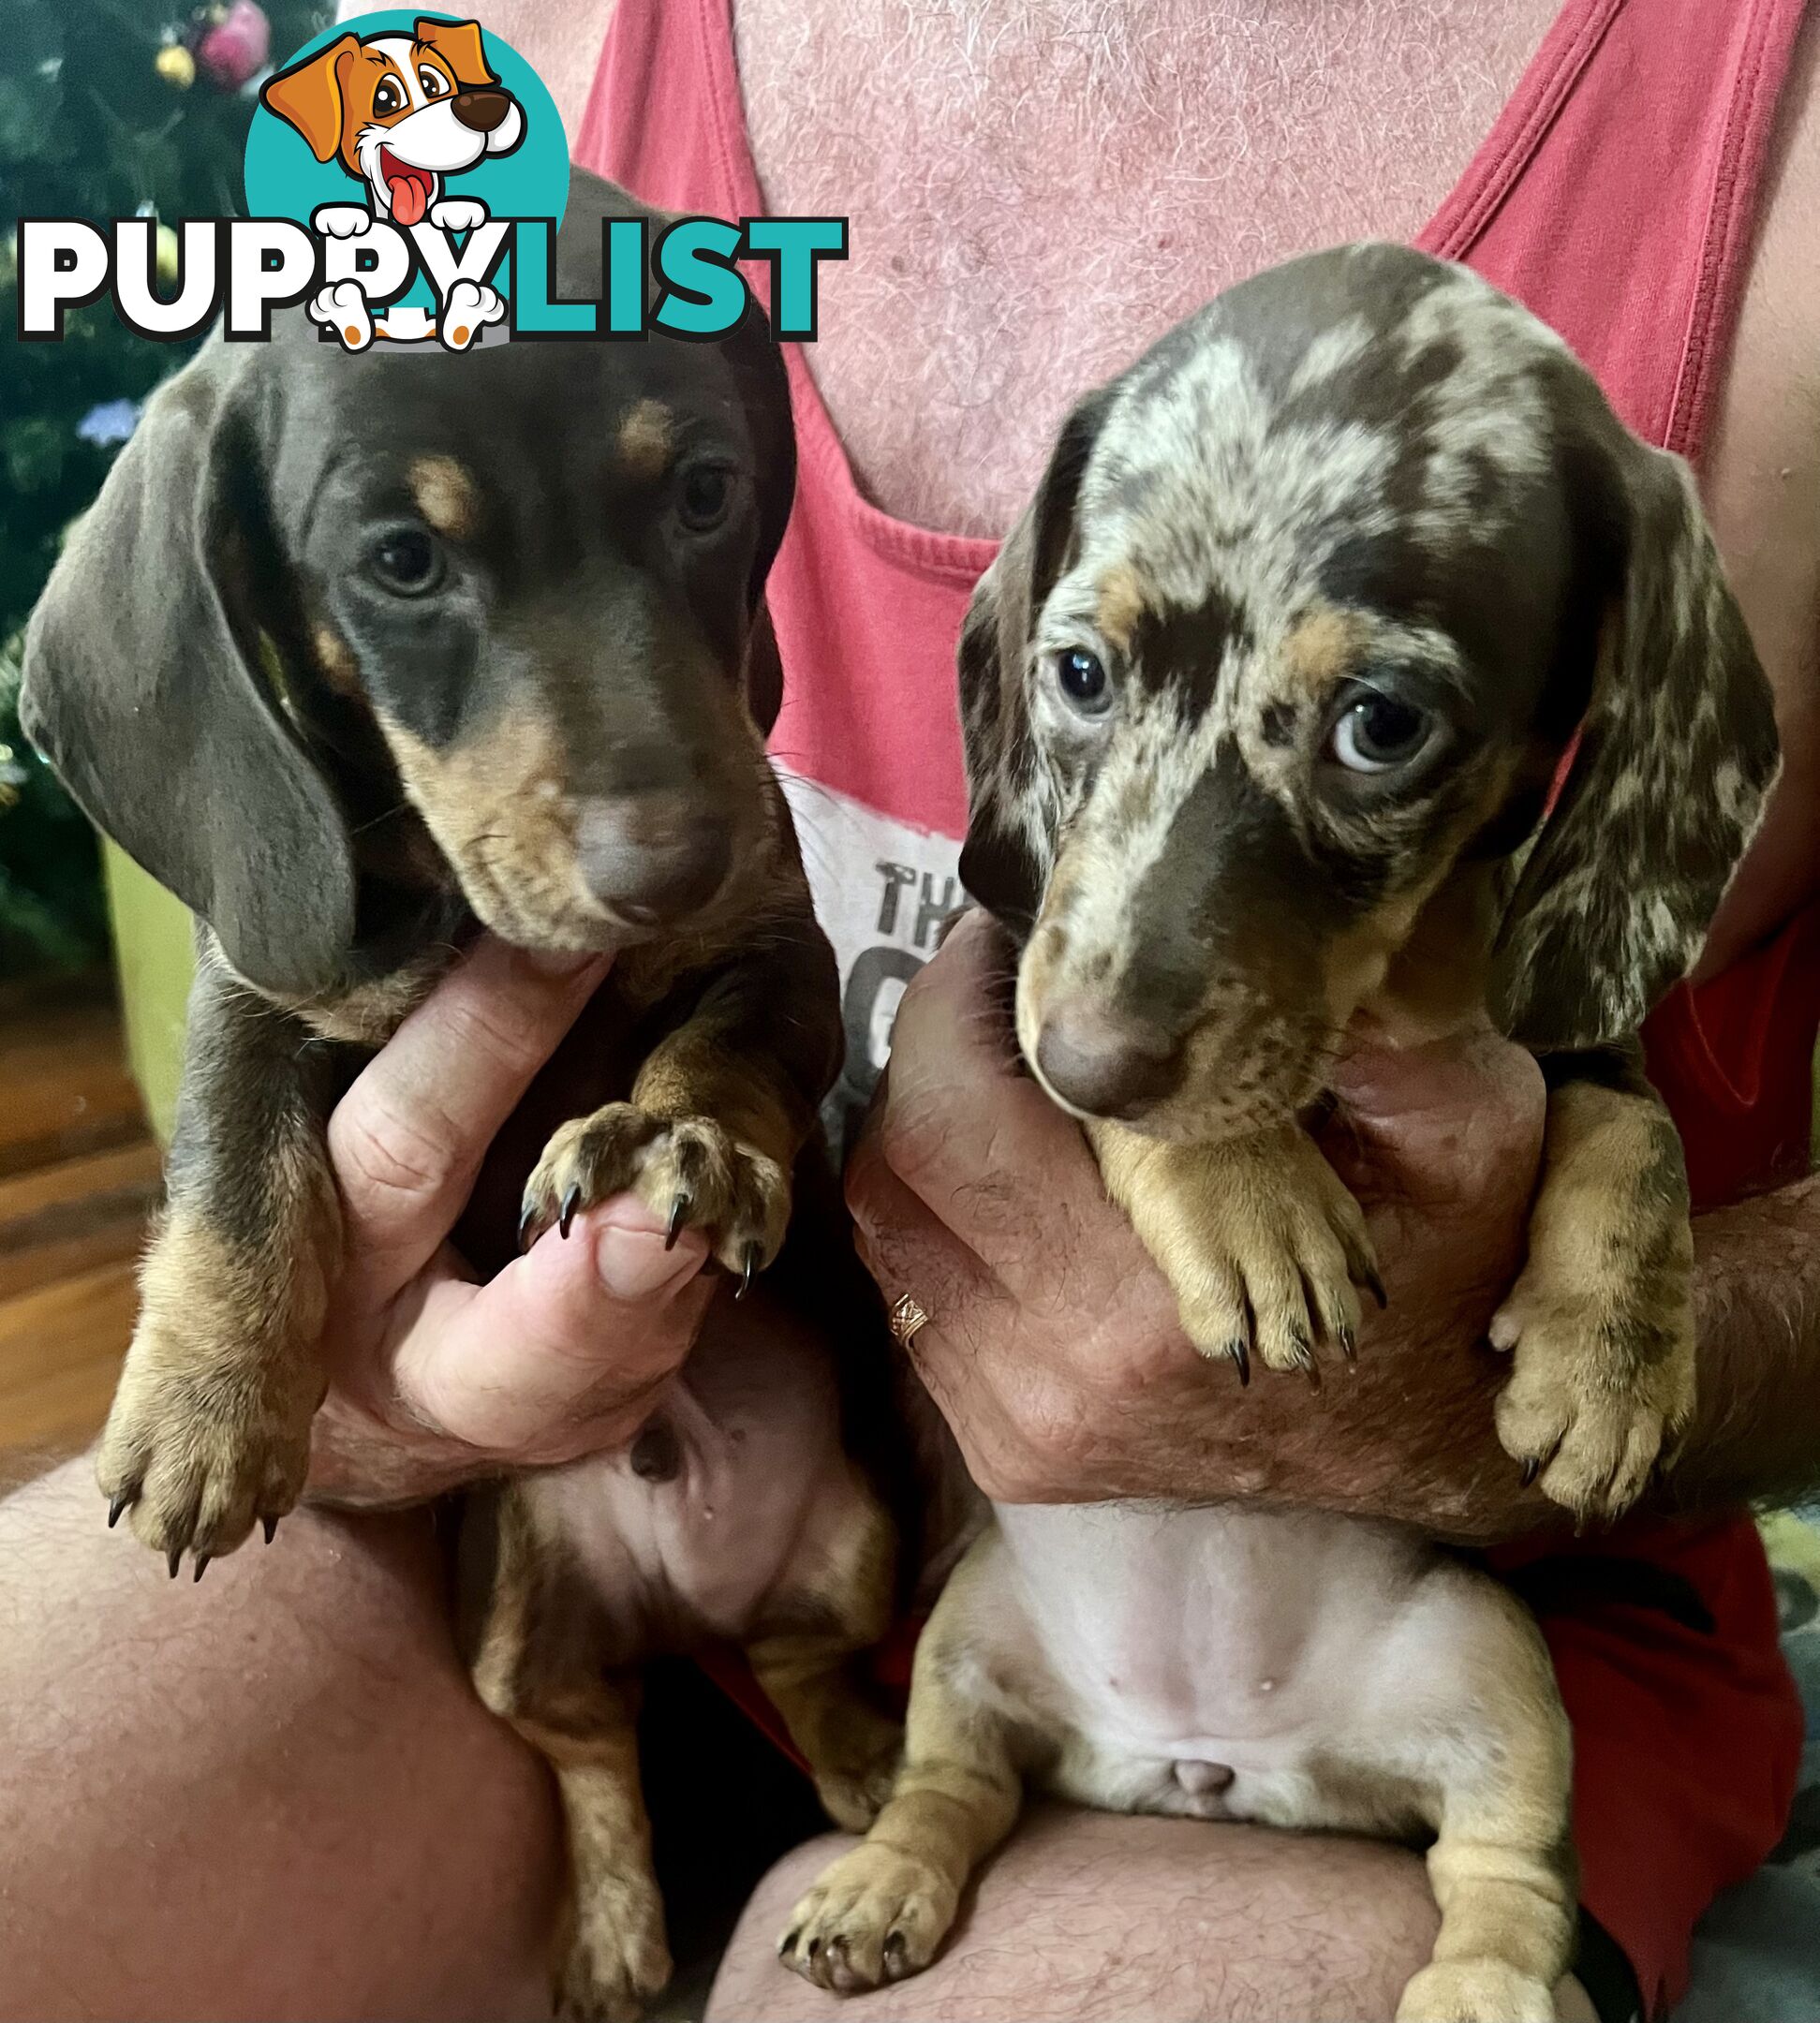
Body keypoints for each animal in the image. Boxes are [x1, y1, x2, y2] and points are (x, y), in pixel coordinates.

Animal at [24, 173, 906, 2023]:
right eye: (402, 562)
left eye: (705, 491)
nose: (674, 861)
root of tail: (678, 1602)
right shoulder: (259, 989)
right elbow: (238, 1171)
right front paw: (207, 1409)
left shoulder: (770, 950)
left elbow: (729, 1046)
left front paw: (680, 1133)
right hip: (505, 1596)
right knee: (585, 1738)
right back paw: (618, 1925)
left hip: (855, 1537)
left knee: (793, 1657)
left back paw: (864, 1762)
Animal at [780, 248, 1779, 2023]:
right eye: (1078, 673)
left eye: (1378, 725)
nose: (1092, 1062)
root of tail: (1201, 1761)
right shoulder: (1010, 970)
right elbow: (1141, 1098)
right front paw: (1245, 1198)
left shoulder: (1563, 1030)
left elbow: (1632, 1138)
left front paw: (1607, 1358)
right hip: (966, 1626)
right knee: (950, 1784)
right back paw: (879, 1882)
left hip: (1496, 1664)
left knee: (1502, 1871)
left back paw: (1486, 1989)